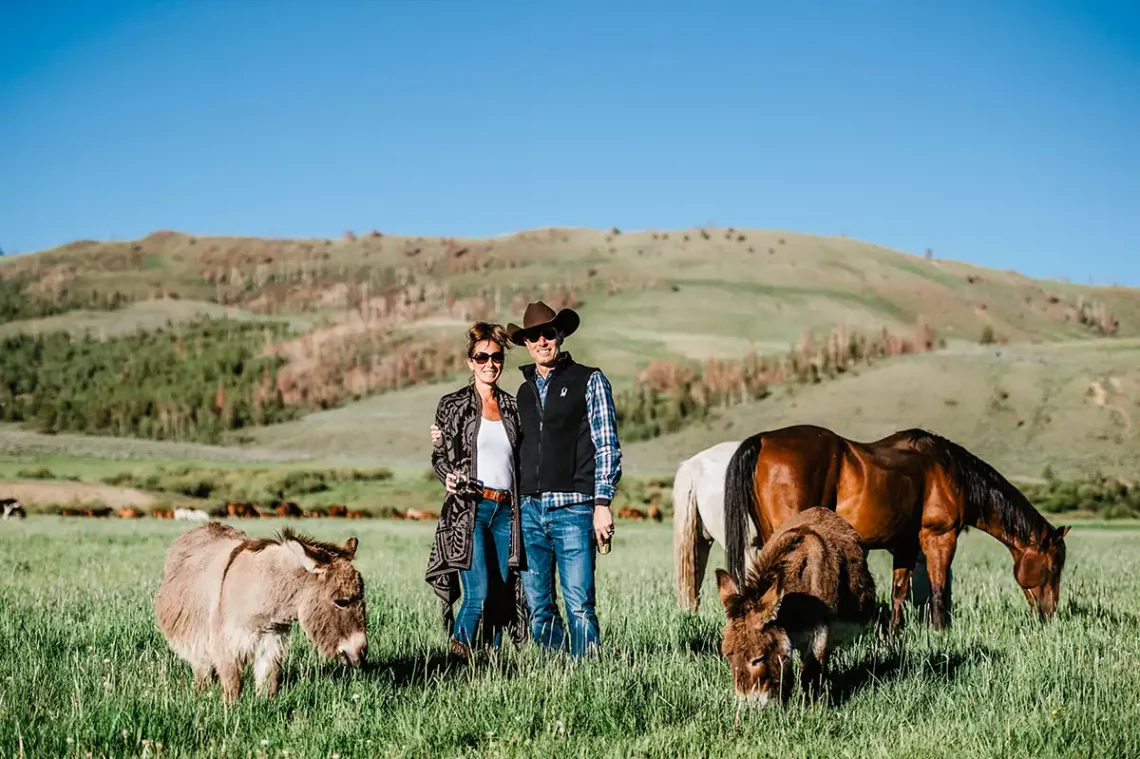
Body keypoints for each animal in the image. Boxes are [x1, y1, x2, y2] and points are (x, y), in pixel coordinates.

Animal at [725, 421, 1071, 629]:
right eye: (1054, 567)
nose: (1050, 614)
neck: (947, 471)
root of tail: (763, 440)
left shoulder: (905, 544)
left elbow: (899, 592)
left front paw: (893, 635)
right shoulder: (939, 538)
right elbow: (938, 587)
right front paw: (940, 631)